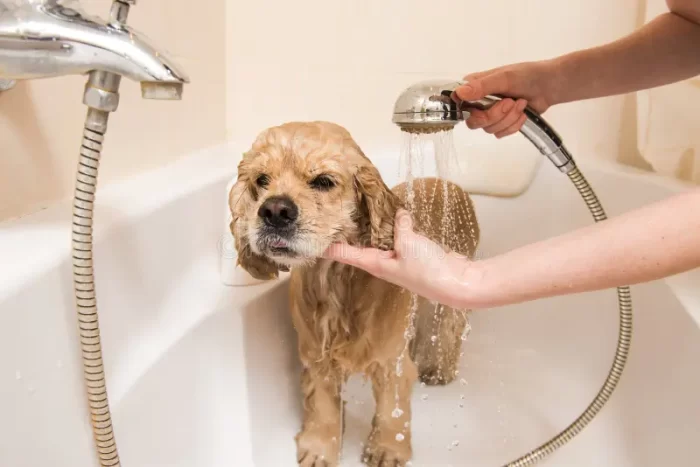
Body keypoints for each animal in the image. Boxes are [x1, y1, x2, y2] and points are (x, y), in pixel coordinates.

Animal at [230, 121, 482, 467]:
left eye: (323, 181)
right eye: (262, 180)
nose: (274, 210)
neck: (335, 281)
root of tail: (450, 184)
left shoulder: (390, 360)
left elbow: (392, 409)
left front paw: (388, 448)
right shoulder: (316, 355)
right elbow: (322, 406)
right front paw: (319, 448)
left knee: (448, 329)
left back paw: (438, 368)